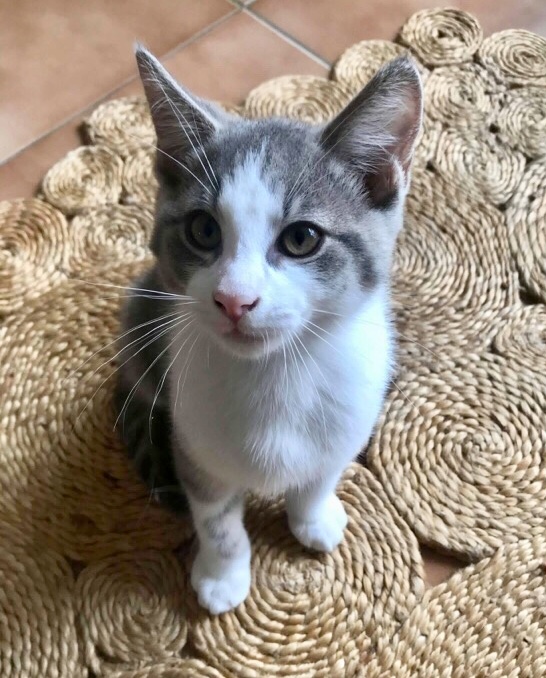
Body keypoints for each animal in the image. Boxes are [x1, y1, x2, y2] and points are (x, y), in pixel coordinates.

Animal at [115, 45, 422, 614]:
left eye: (302, 238)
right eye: (203, 230)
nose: (235, 299)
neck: (278, 375)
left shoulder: (347, 420)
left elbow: (319, 477)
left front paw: (313, 518)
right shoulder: (195, 442)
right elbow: (216, 520)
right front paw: (223, 574)